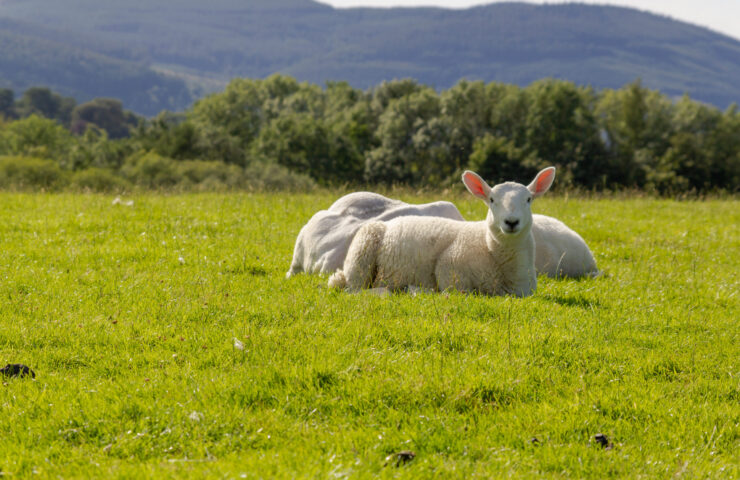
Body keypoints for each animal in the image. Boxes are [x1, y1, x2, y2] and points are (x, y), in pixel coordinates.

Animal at [328, 167, 556, 297]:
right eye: (491, 200)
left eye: (528, 199)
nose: (511, 222)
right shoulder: (450, 269)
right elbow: (459, 292)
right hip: (362, 251)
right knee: (356, 290)